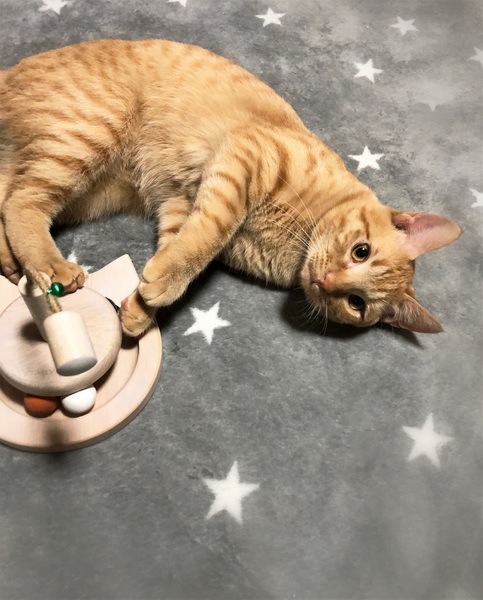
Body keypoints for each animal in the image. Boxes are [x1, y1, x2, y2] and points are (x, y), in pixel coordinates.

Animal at [0, 39, 461, 337]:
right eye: (360, 251)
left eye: (356, 304)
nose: (327, 281)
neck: (296, 241)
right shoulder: (245, 159)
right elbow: (206, 239)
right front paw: (159, 284)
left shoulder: (179, 203)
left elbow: (179, 247)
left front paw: (143, 309)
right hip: (87, 135)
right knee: (23, 203)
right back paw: (50, 267)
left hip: (83, 184)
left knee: (8, 197)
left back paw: (12, 262)